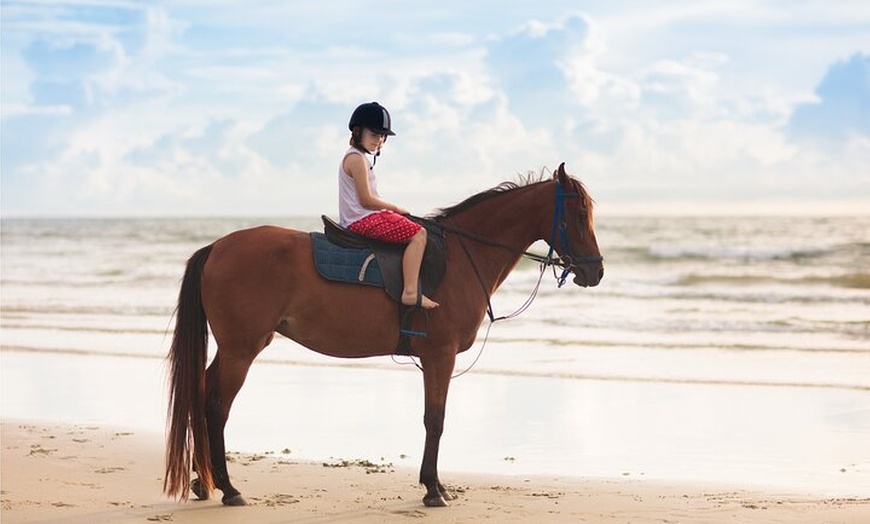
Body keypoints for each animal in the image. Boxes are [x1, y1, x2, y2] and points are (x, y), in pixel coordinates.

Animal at [163, 162, 604, 508]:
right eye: (579, 212)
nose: (596, 271)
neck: (462, 258)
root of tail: (216, 247)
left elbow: (433, 419)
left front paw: (435, 485)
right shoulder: (440, 356)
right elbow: (435, 420)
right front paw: (433, 490)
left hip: (233, 348)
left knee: (203, 393)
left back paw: (203, 481)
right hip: (242, 349)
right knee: (216, 407)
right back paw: (228, 488)